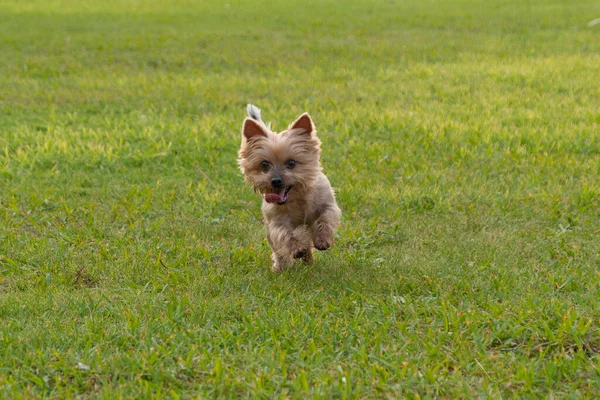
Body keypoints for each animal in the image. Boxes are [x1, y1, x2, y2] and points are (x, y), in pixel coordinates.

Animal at [239, 104, 342, 272]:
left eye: (292, 163)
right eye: (264, 164)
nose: (275, 181)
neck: (297, 199)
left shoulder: (327, 205)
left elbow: (324, 219)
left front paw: (322, 240)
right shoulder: (277, 222)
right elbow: (286, 235)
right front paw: (297, 249)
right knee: (279, 250)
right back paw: (282, 266)